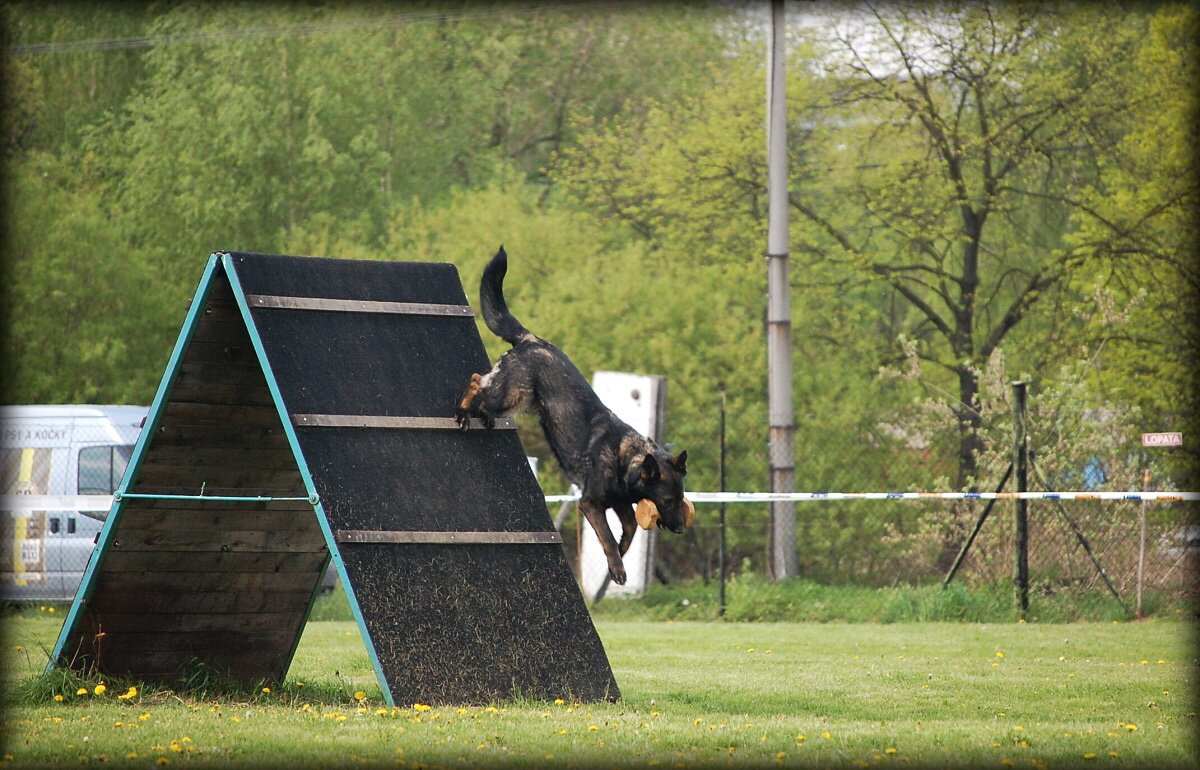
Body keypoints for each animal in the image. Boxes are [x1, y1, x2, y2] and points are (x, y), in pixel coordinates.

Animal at [453, 245, 696, 580]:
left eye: (681, 499)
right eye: (668, 500)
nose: (681, 529)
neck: (625, 460)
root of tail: (533, 339)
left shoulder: (620, 504)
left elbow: (630, 529)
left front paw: (620, 554)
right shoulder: (591, 503)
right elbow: (606, 535)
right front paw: (616, 566)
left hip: (517, 398)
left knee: (484, 388)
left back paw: (482, 416)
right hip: (514, 394)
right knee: (478, 381)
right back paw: (465, 412)